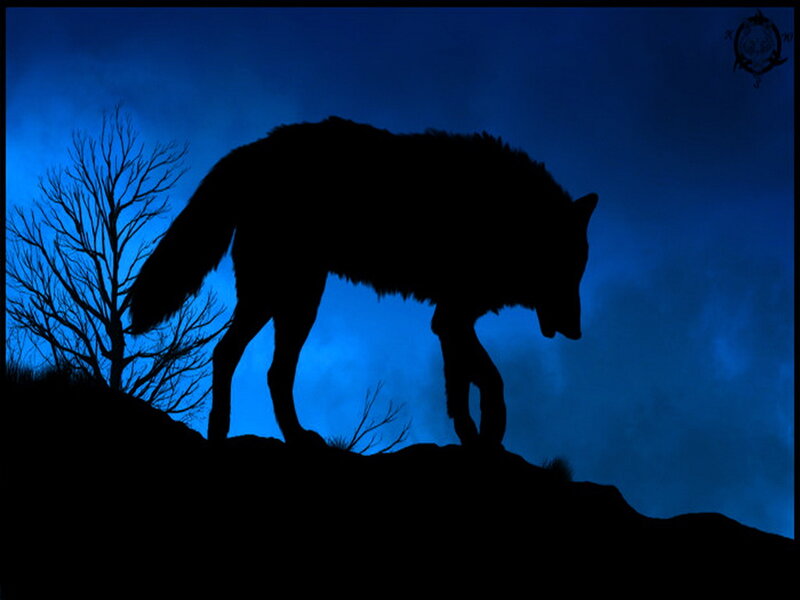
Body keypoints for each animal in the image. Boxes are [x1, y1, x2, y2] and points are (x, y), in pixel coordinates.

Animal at [128, 116, 597, 449]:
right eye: (571, 270)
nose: (577, 332)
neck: (510, 217)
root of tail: (255, 148)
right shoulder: (454, 317)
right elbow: (491, 379)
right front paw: (491, 434)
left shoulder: (449, 320)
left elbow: (460, 385)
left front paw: (471, 438)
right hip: (290, 297)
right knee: (253, 362)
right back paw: (263, 435)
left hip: (283, 300)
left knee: (249, 362)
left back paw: (256, 434)